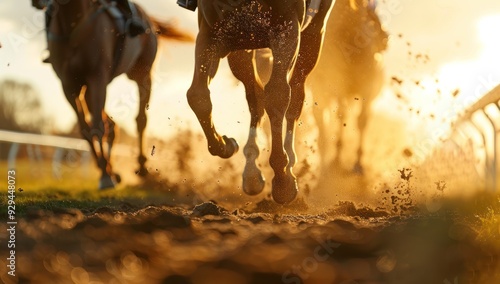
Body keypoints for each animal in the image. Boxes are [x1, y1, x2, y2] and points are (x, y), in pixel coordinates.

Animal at [31, 1, 191, 190]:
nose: (37, 3)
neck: (73, 25)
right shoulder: (69, 86)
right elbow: (86, 129)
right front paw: (105, 172)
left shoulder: (97, 78)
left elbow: (98, 127)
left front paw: (106, 176)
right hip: (89, 90)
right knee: (111, 125)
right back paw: (115, 169)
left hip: (142, 75)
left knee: (140, 120)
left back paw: (141, 166)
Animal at [186, 0, 334, 204]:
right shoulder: (213, 34)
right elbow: (197, 96)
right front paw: (225, 144)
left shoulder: (287, 30)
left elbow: (277, 95)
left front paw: (283, 180)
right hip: (243, 49)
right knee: (256, 99)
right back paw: (251, 174)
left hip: (313, 36)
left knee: (295, 97)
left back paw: (290, 162)